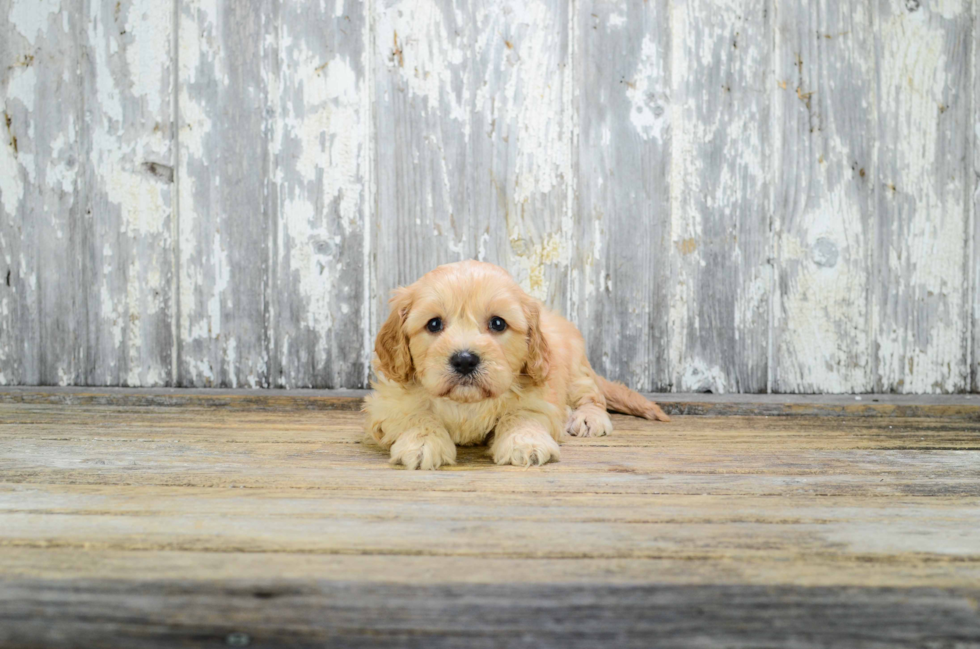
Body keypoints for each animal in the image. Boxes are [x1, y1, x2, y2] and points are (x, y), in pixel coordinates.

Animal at [364, 260, 668, 468]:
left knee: (592, 395)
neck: (466, 403)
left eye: (498, 323)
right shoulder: (390, 403)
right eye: (434, 324)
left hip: (575, 367)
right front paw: (422, 443)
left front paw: (525, 443)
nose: (465, 361)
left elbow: (520, 415)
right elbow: (417, 414)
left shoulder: (539, 396)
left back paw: (587, 417)